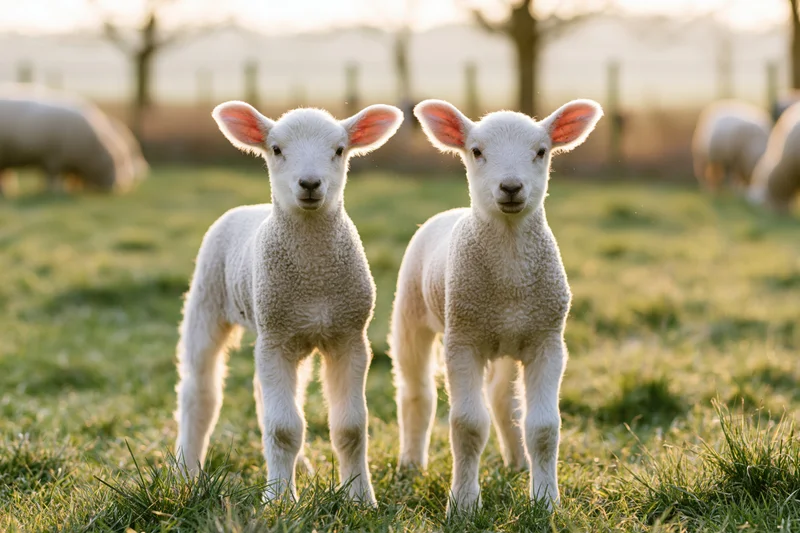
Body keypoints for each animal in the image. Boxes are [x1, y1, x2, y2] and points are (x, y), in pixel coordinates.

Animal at [0, 88, 136, 195]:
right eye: (120, 162)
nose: (123, 186)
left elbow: (71, 177)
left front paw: (72, 189)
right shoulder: (53, 159)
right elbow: (53, 177)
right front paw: (56, 192)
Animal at [174, 100, 404, 505]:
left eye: (339, 150)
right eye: (277, 149)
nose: (310, 184)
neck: (313, 278)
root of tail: (248, 208)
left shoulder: (349, 337)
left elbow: (350, 428)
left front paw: (360, 498)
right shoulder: (276, 338)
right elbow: (283, 429)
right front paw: (280, 500)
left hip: (292, 335)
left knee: (266, 395)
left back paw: (301, 468)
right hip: (208, 300)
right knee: (199, 392)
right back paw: (186, 472)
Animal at [390, 99, 603, 515]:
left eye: (541, 151)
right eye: (476, 151)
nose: (510, 187)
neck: (509, 281)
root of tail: (450, 213)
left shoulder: (546, 342)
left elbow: (543, 427)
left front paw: (546, 501)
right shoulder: (462, 342)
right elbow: (468, 425)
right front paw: (463, 504)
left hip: (507, 341)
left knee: (504, 400)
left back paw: (517, 462)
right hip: (410, 314)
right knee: (416, 392)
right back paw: (411, 463)